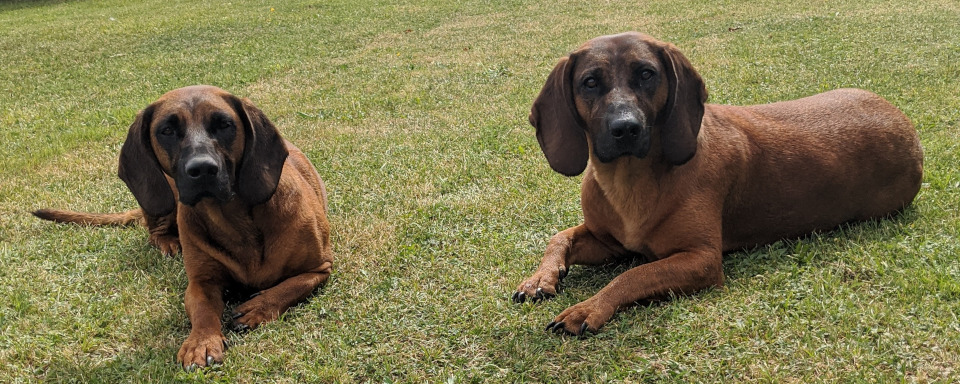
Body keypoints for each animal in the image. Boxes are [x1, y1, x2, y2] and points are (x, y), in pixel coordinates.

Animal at [32, 86, 334, 368]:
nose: (202, 169)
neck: (234, 219)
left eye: (224, 124)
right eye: (166, 130)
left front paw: (259, 307)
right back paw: (168, 242)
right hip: (165, 196)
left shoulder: (319, 269)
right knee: (154, 231)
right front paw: (201, 341)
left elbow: (290, 287)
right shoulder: (200, 282)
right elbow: (202, 311)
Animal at [512, 34, 928, 338]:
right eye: (590, 82)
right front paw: (540, 278)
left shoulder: (701, 259)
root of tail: (905, 125)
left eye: (647, 74)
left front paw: (590, 307)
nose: (625, 127)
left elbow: (634, 274)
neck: (630, 181)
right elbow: (559, 237)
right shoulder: (609, 241)